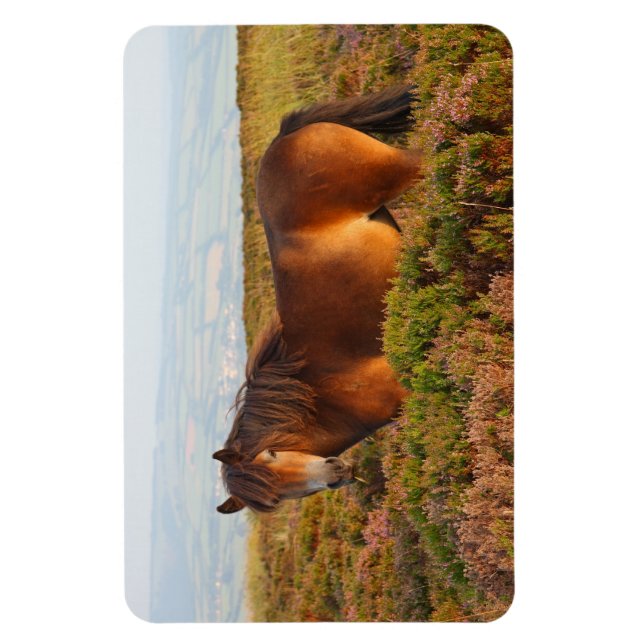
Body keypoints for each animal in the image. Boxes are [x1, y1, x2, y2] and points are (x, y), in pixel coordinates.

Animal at [213, 84, 423, 514]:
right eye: (275, 497)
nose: (334, 473)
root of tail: (285, 138)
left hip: (406, 168)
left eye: (272, 453)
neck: (322, 394)